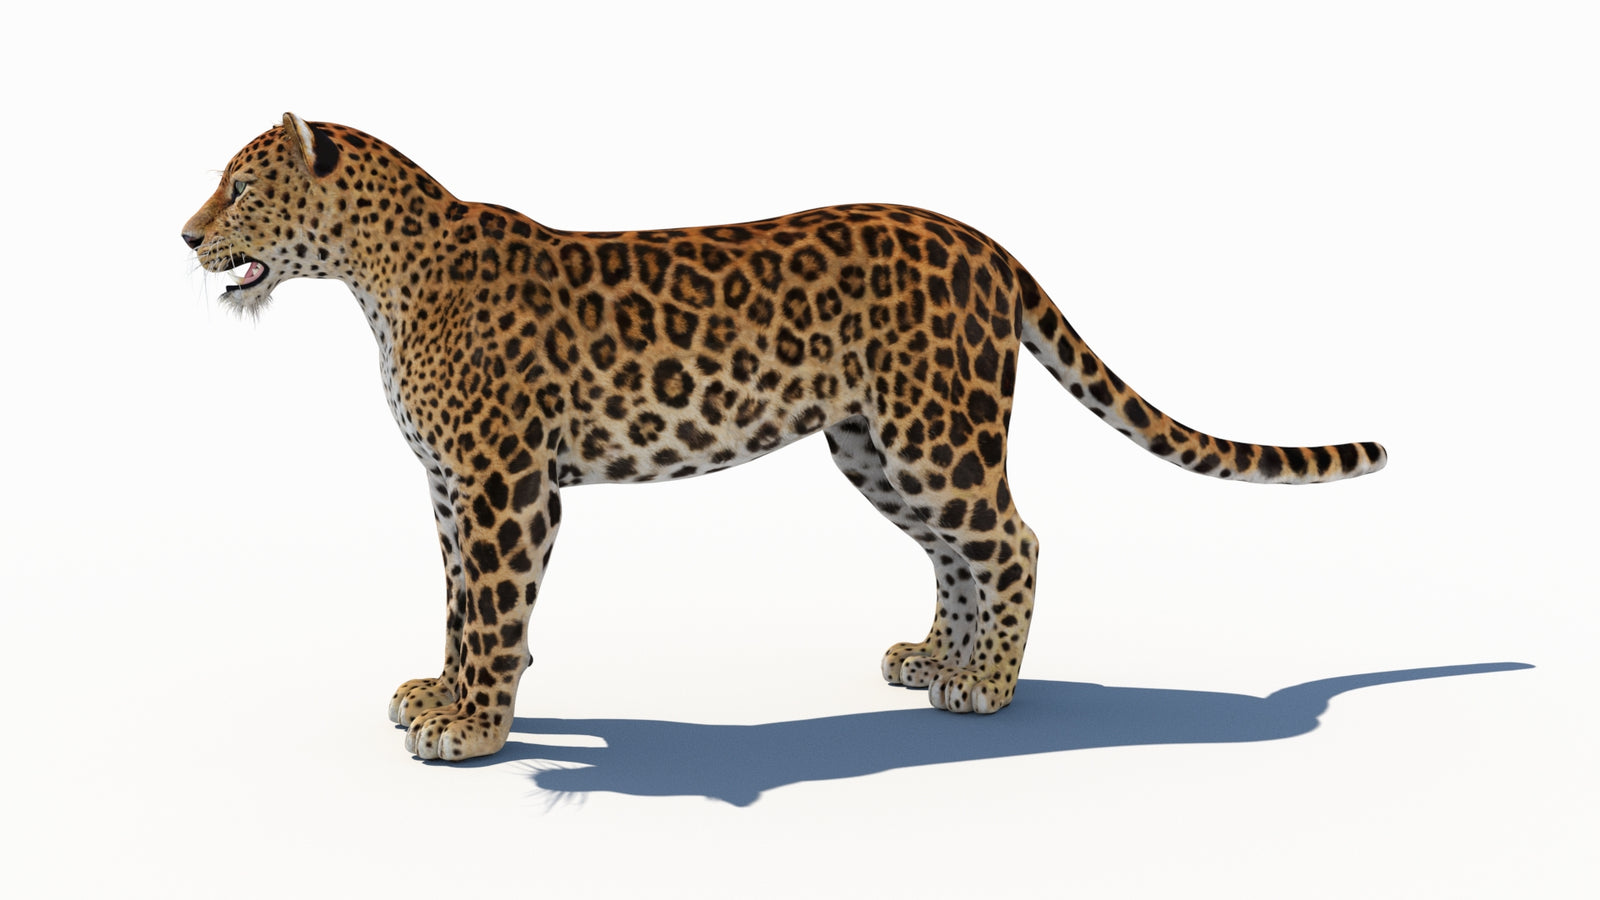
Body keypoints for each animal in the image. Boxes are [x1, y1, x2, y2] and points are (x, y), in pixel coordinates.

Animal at [183, 113, 1387, 761]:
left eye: (239, 187)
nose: (186, 236)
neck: (375, 275)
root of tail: (984, 240)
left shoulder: (502, 484)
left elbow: (491, 607)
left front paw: (475, 727)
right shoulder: (450, 488)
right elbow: (456, 604)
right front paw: (441, 696)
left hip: (934, 433)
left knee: (1013, 540)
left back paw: (988, 684)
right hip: (873, 447)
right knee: (958, 552)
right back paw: (937, 659)